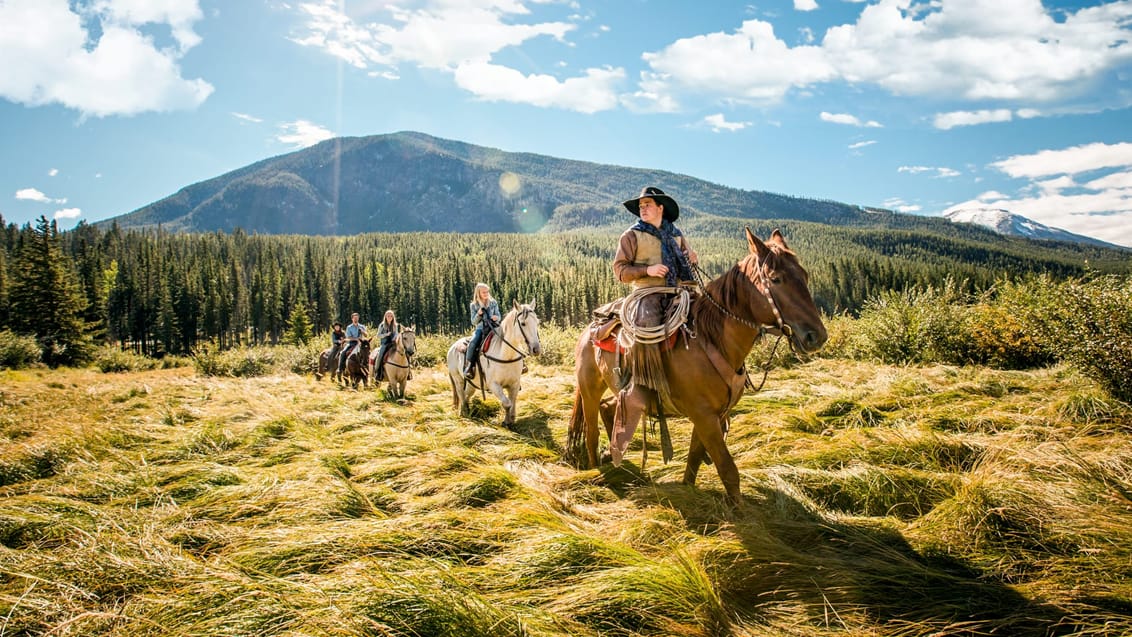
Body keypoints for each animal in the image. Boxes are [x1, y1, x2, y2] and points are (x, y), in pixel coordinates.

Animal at [570, 228, 828, 504]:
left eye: (805, 275)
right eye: (775, 279)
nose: (817, 336)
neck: (711, 340)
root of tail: (589, 328)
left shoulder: (711, 415)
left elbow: (694, 458)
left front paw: (689, 491)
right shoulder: (704, 416)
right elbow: (728, 470)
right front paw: (741, 511)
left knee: (610, 408)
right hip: (589, 390)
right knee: (591, 434)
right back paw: (597, 470)